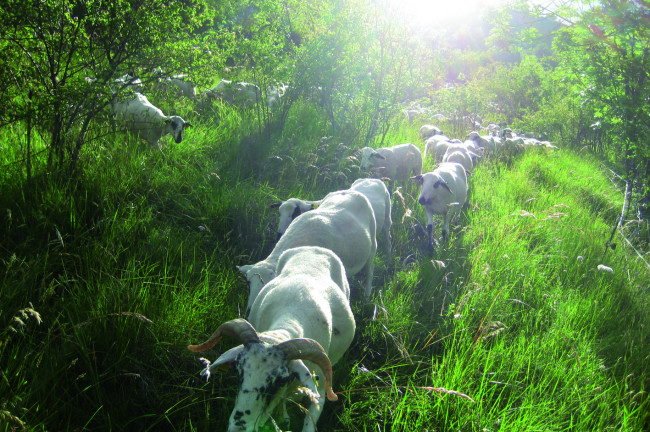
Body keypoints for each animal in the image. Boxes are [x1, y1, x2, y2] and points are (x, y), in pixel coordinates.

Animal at [239, 191, 378, 308]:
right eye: (248, 283)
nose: (249, 312)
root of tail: (350, 191)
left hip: (372, 246)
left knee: (370, 271)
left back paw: (366, 298)